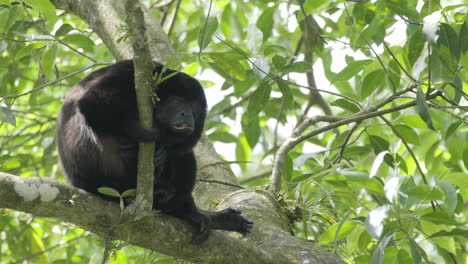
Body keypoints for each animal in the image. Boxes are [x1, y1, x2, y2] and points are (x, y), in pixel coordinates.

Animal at [57, 59, 254, 243]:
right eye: (177, 102)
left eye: (192, 106)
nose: (187, 115)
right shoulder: (127, 75)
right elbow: (92, 103)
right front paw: (153, 135)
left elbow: (182, 147)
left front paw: (164, 149)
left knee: (183, 157)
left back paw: (195, 214)